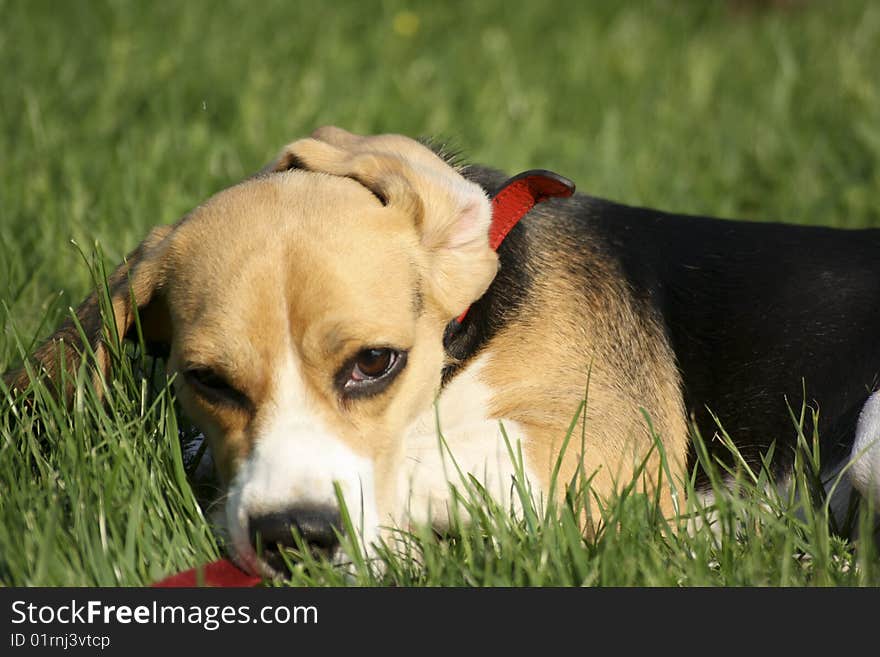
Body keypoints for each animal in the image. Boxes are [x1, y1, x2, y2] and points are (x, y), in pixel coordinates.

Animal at [1, 127, 880, 576]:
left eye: (374, 363)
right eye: (207, 380)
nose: (293, 537)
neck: (465, 346)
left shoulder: (602, 454)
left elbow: (432, 457)